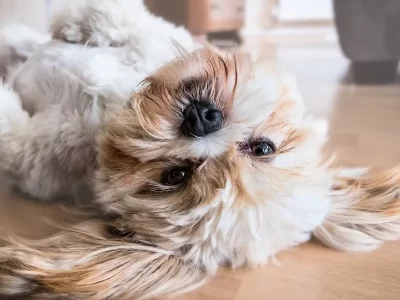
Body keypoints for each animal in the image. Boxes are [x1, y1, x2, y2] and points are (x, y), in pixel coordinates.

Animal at [0, 0, 400, 300]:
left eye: (174, 175)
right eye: (263, 148)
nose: (202, 118)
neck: (111, 108)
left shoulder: (37, 156)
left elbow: (10, 130)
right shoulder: (152, 38)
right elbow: (121, 19)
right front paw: (73, 25)